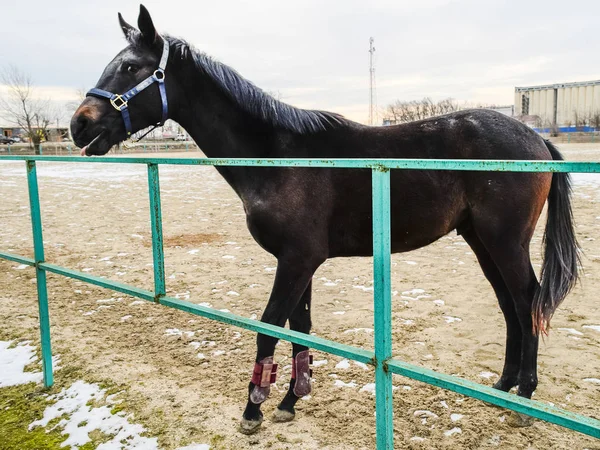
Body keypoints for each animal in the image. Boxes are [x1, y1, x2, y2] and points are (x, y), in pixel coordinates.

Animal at [71, 6, 580, 436]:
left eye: (131, 67)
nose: (80, 125)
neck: (282, 155)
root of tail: (536, 139)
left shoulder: (297, 260)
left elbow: (269, 328)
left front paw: (253, 410)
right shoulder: (301, 261)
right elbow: (298, 327)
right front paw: (289, 402)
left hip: (505, 241)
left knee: (528, 301)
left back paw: (525, 396)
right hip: (482, 240)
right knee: (511, 306)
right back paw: (504, 388)